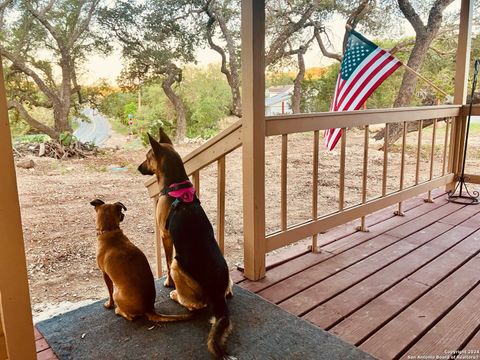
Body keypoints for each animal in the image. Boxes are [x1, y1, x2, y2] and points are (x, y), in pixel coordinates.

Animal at [138, 130, 235, 360]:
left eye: (147, 157)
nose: (138, 168)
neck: (176, 184)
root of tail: (217, 295)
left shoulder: (165, 236)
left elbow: (165, 261)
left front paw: (168, 283)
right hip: (228, 277)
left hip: (178, 263)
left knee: (194, 305)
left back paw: (176, 295)